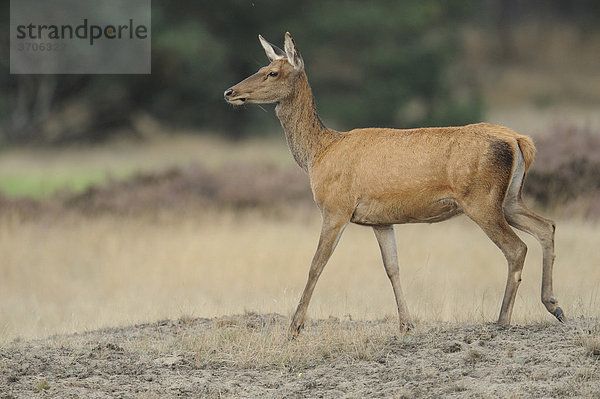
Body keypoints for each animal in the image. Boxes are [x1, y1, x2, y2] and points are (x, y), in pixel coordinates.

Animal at [224, 32, 564, 338]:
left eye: (272, 72)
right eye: (262, 66)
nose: (230, 92)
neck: (318, 153)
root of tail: (519, 140)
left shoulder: (336, 207)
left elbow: (316, 264)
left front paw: (294, 327)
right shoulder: (380, 220)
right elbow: (392, 268)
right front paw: (406, 325)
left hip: (481, 199)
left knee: (516, 247)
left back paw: (503, 320)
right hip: (510, 198)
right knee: (546, 226)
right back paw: (554, 305)